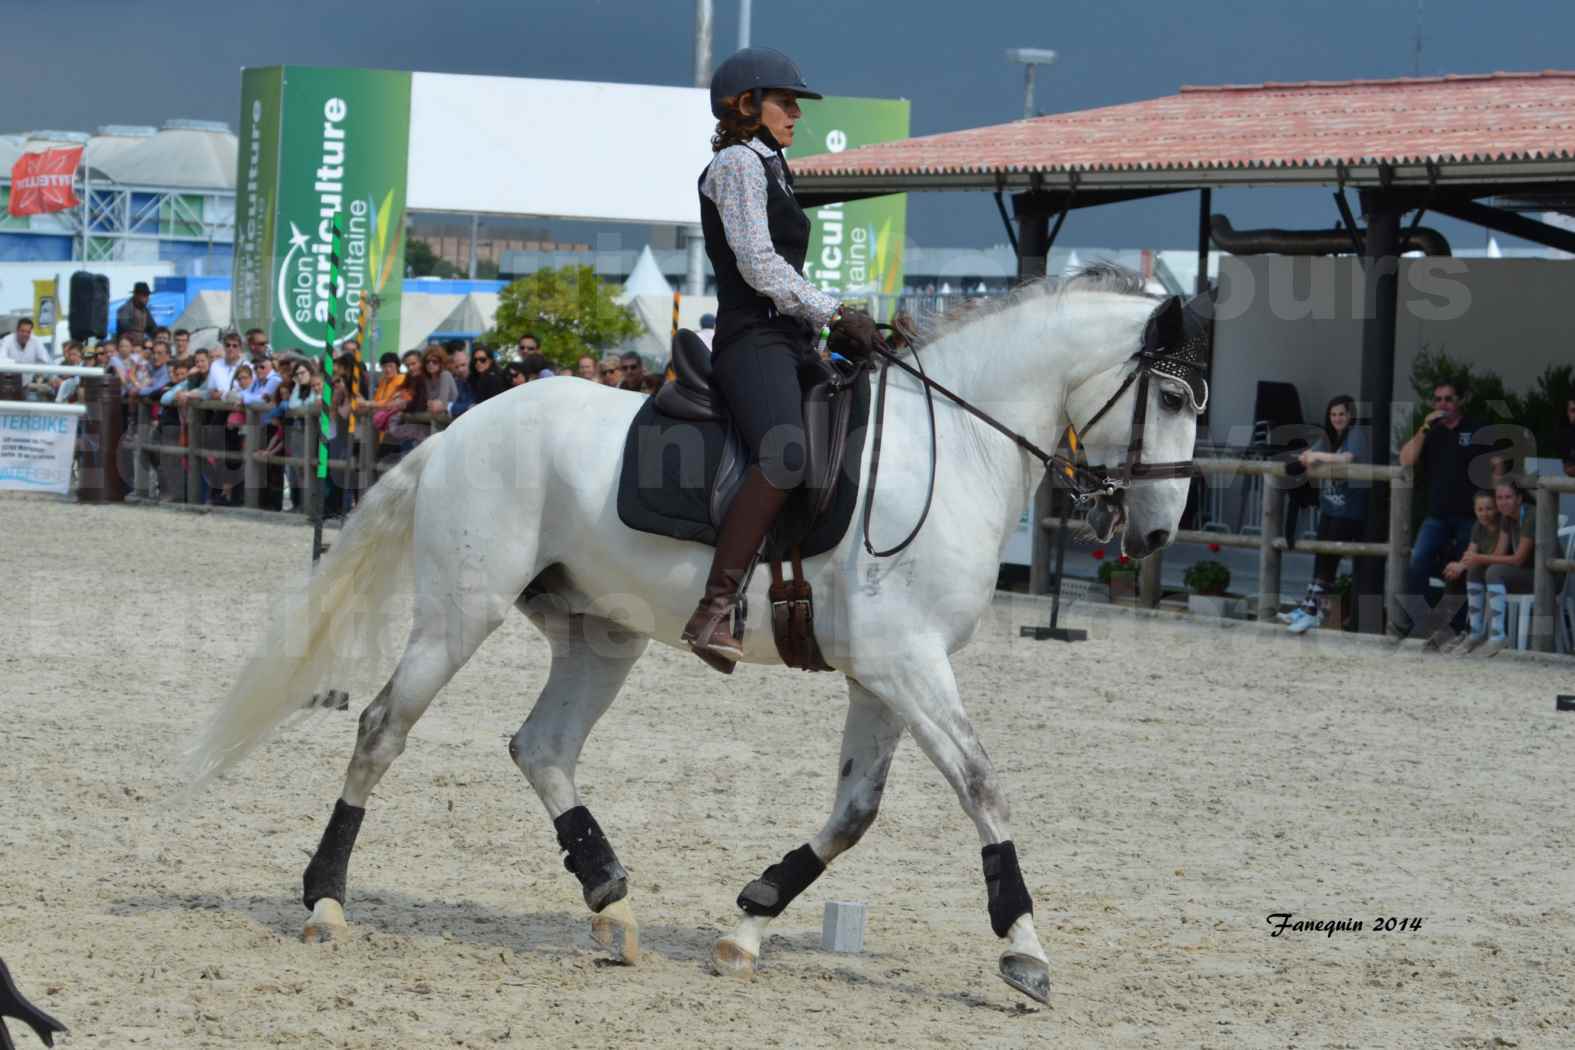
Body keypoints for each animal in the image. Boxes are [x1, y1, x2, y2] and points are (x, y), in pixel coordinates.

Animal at [184, 267, 1197, 1007]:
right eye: (1174, 399)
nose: (1152, 536)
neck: (949, 444)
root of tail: (463, 426)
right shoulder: (906, 664)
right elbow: (982, 786)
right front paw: (1024, 951)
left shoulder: (882, 674)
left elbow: (854, 811)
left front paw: (746, 923)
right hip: (460, 615)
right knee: (382, 729)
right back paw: (325, 901)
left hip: (601, 634)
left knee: (541, 745)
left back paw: (609, 902)